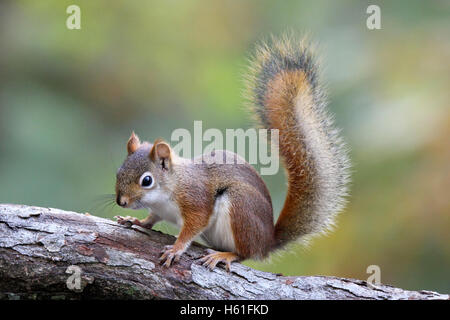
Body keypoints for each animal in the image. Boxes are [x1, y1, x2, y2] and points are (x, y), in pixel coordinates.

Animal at [113, 36, 352, 272]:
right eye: (118, 172)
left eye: (147, 180)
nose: (121, 202)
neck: (169, 189)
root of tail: (267, 242)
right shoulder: (159, 210)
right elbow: (151, 218)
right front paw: (135, 221)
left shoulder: (195, 201)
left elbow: (192, 227)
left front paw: (176, 249)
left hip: (240, 207)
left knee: (246, 253)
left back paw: (224, 255)